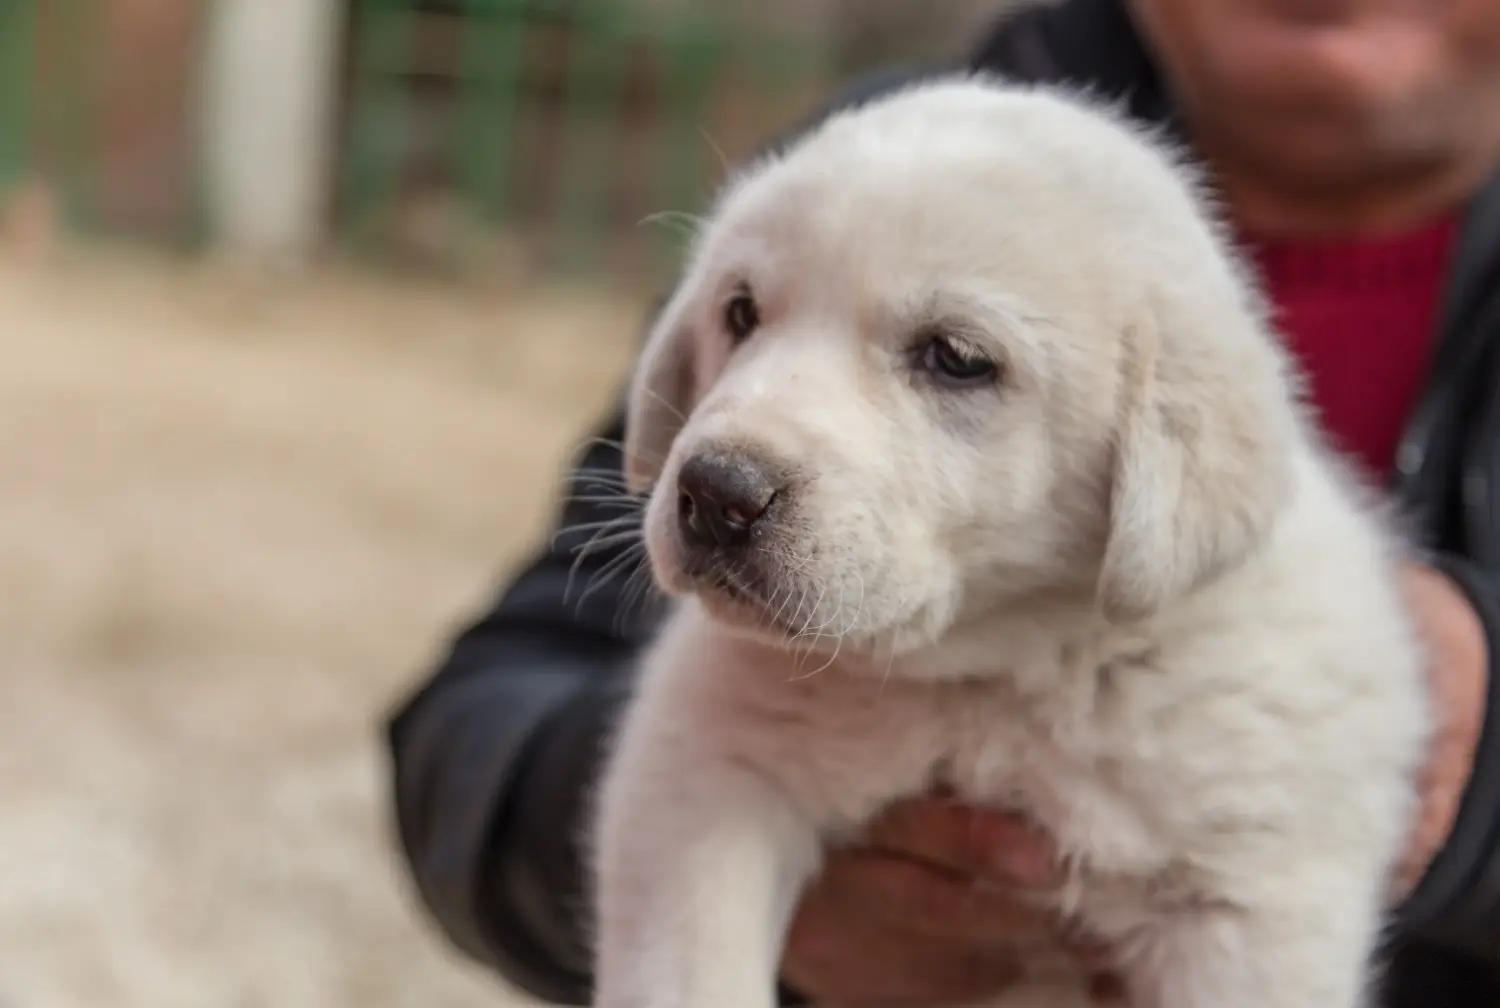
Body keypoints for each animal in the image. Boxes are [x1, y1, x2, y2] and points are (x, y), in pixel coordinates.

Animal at [585, 72, 1428, 1008]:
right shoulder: (704, 767)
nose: (716, 492)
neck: (998, 677)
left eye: (955, 357)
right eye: (741, 313)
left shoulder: (1252, 910)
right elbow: (687, 962)